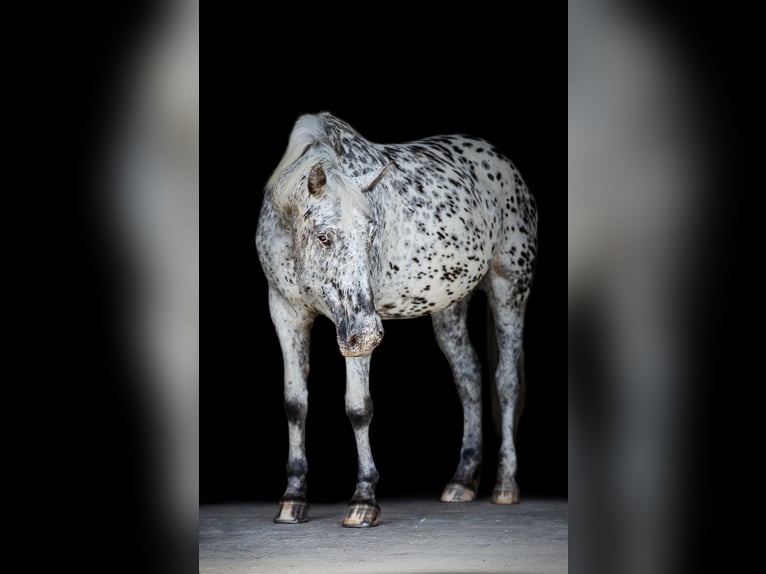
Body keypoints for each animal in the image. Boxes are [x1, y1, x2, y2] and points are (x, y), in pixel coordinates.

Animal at [255, 113, 536, 532]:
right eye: (323, 237)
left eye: (372, 232)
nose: (370, 334)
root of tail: (502, 162)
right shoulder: (286, 311)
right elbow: (295, 404)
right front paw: (292, 499)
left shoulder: (354, 325)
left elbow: (358, 407)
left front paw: (364, 501)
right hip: (449, 304)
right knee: (469, 376)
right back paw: (462, 481)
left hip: (509, 287)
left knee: (505, 380)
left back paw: (505, 484)